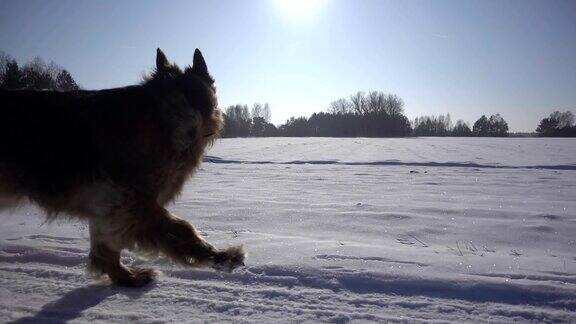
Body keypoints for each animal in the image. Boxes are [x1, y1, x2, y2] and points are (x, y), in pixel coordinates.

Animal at [0, 47, 245, 286]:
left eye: (194, 98)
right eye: (168, 105)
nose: (187, 135)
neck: (157, 127)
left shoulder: (111, 209)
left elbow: (106, 248)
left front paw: (123, 277)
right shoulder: (129, 203)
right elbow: (182, 228)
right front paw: (219, 256)